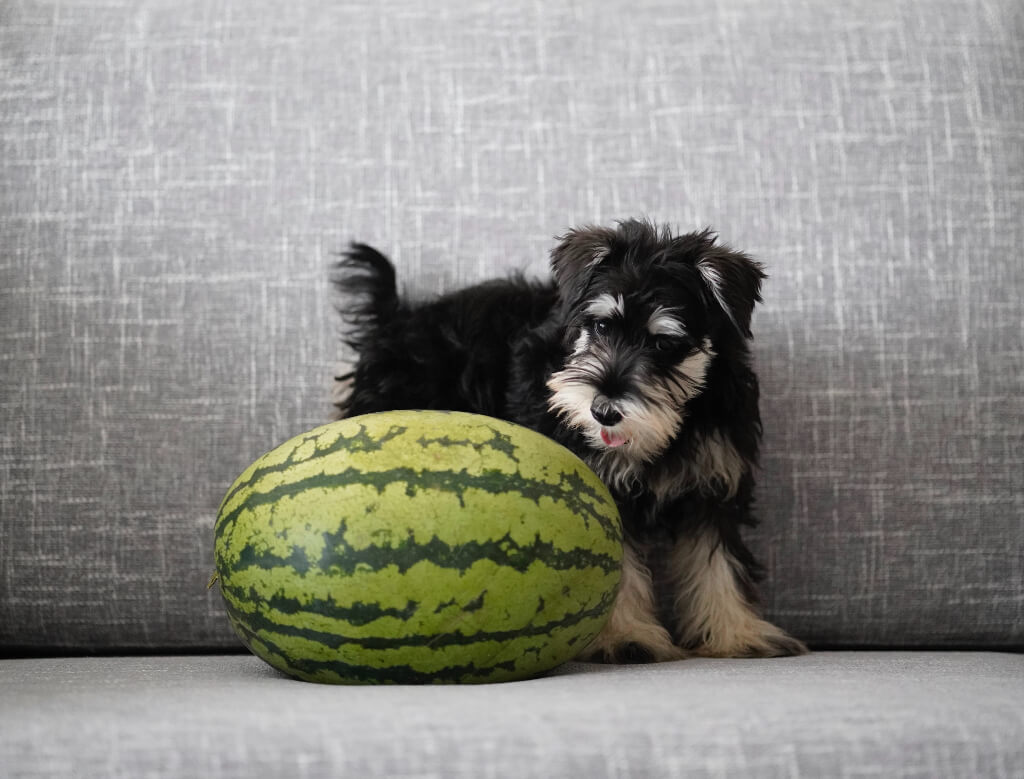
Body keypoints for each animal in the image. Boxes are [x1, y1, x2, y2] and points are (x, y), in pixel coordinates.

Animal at [333, 219, 806, 663]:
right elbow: (620, 572)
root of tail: (395, 320)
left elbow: (720, 565)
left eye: (664, 343)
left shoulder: (714, 485)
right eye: (600, 325)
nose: (604, 412)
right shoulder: (601, 492)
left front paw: (737, 634)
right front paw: (625, 638)